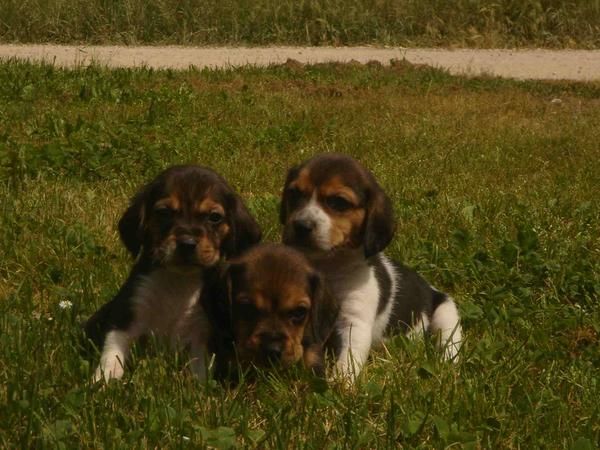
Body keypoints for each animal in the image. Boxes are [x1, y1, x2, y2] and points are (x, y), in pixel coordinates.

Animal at [84, 163, 260, 382]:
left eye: (215, 217)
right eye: (164, 212)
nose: (187, 243)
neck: (179, 281)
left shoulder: (202, 331)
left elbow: (199, 368)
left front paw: (197, 386)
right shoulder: (127, 313)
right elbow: (112, 351)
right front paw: (104, 380)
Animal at [278, 153, 462, 382]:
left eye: (338, 202)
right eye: (294, 193)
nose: (301, 226)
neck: (329, 267)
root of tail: (430, 288)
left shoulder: (354, 322)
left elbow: (347, 360)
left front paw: (340, 385)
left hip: (446, 313)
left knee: (449, 344)